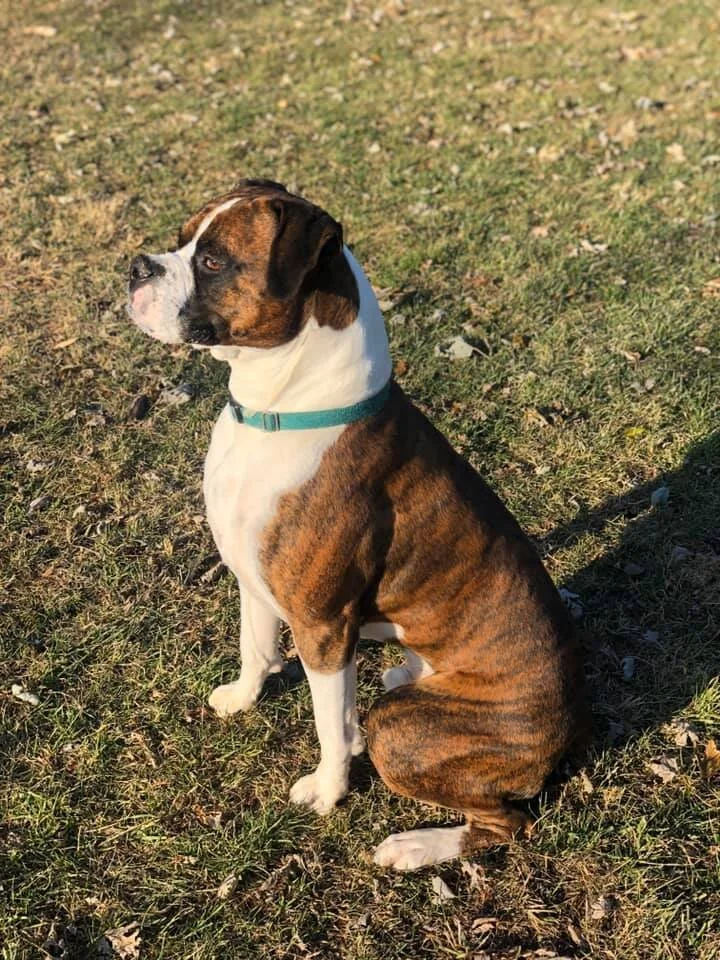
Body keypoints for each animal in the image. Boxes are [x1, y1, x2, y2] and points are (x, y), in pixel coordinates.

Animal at [127, 178, 587, 870]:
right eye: (181, 240)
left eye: (212, 260)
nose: (136, 267)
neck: (284, 411)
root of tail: (566, 724)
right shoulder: (254, 582)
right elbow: (257, 647)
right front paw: (242, 696)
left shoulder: (322, 625)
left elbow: (325, 722)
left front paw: (327, 789)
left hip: (402, 731)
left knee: (505, 824)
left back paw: (415, 845)